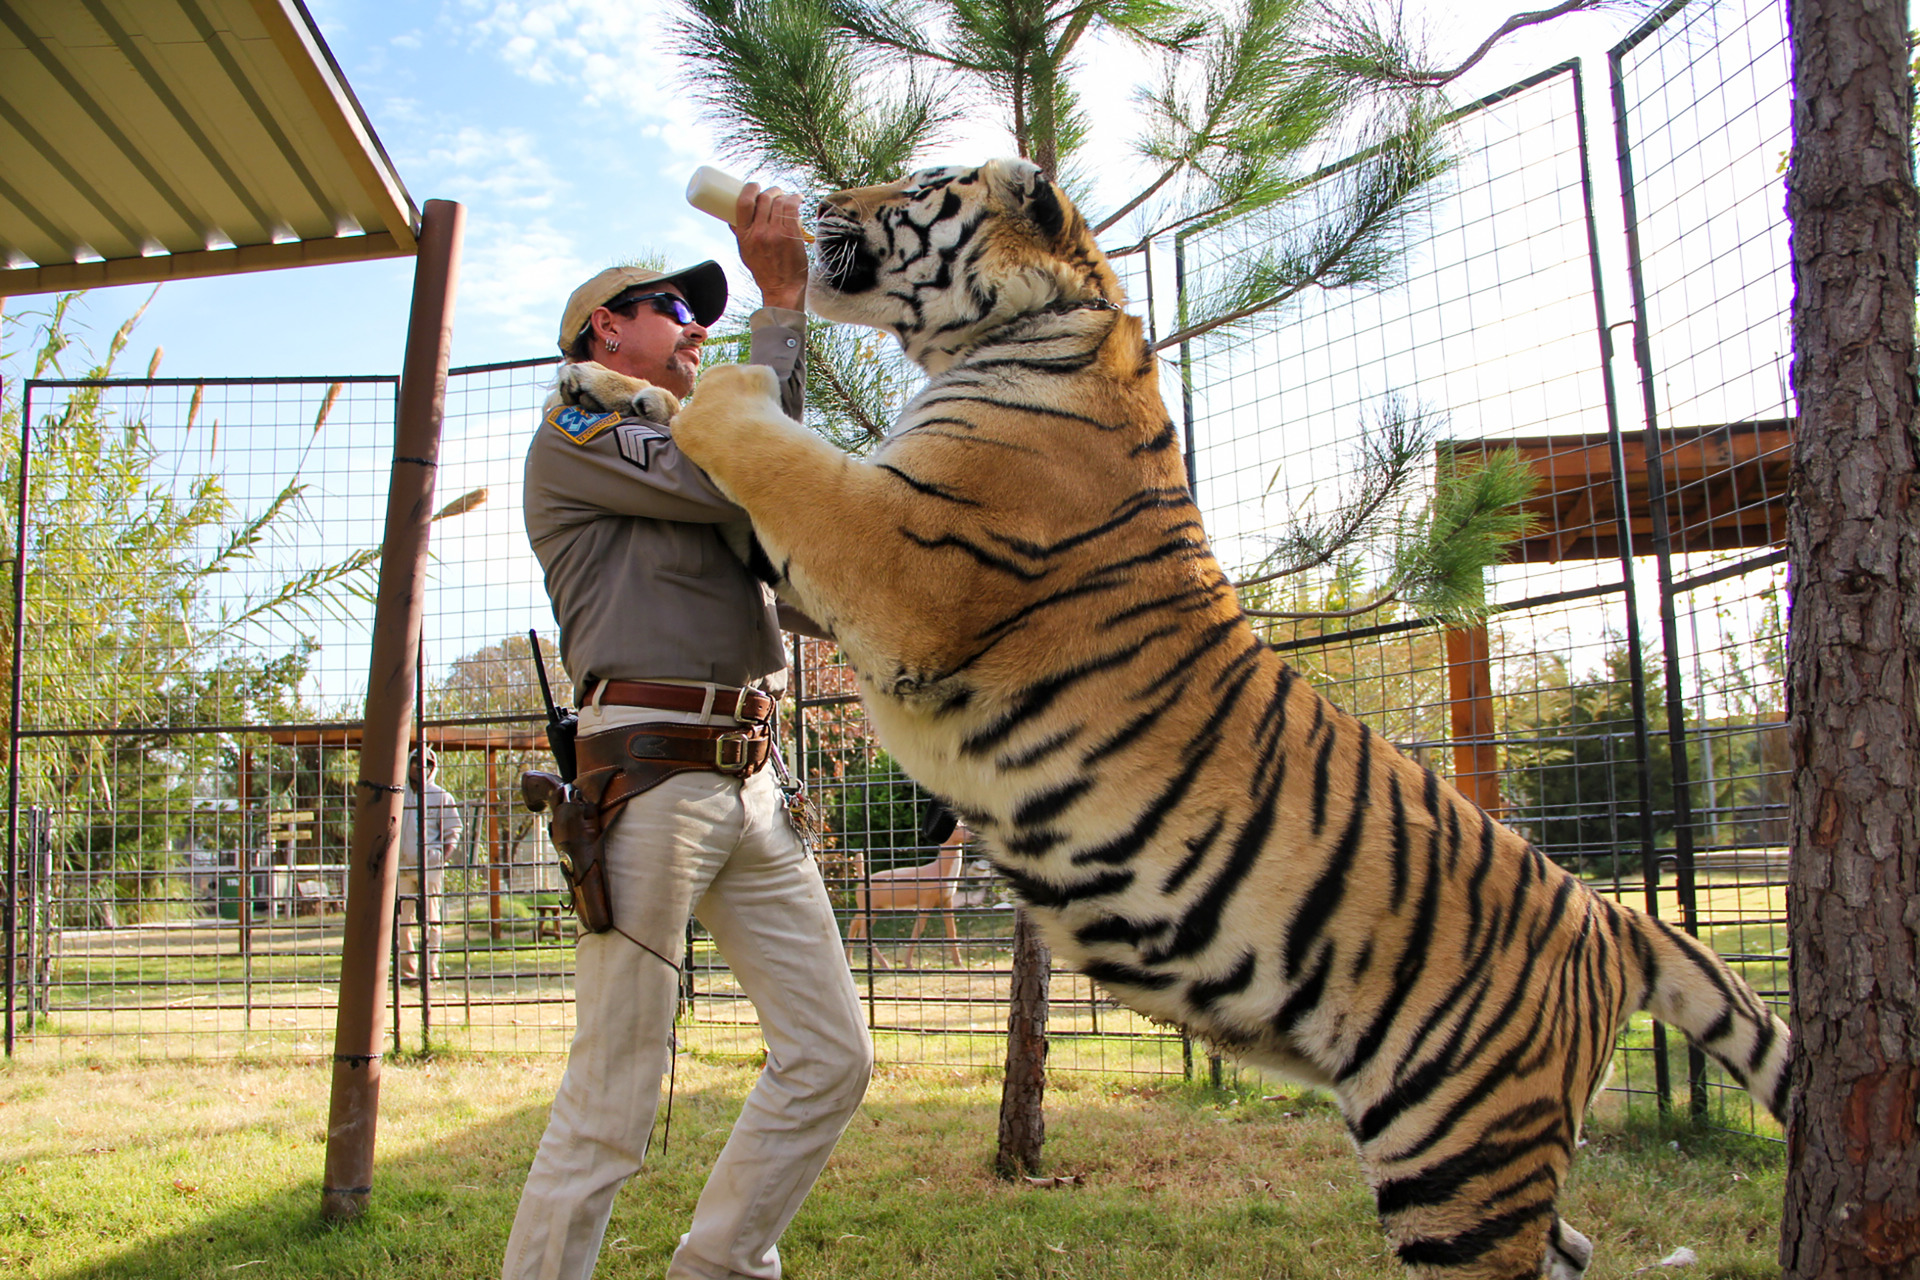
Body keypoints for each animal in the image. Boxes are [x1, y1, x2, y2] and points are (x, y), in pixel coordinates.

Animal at [662, 157, 1791, 1280]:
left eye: (920, 182)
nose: (818, 204)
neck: (1030, 328)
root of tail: (1610, 917)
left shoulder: (900, 558)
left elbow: (775, 450)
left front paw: (701, 384)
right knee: (1573, 1243)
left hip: (1459, 1151)